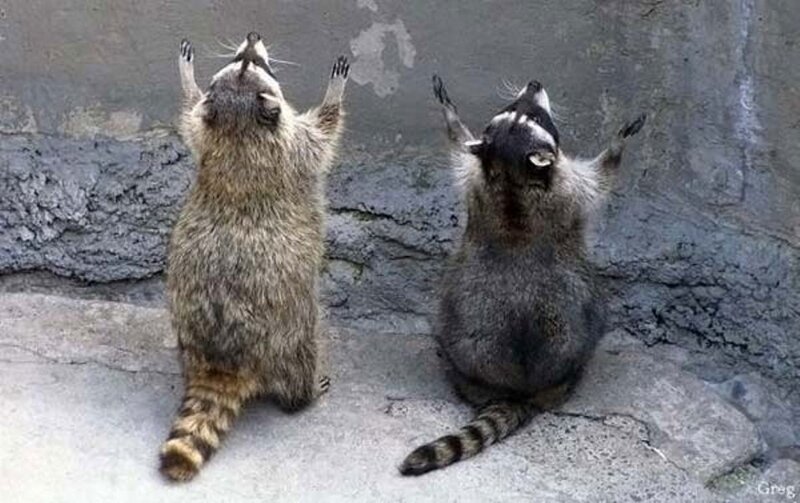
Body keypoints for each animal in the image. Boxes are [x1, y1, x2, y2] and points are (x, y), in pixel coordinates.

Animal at [159, 33, 350, 482]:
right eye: (254, 63)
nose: (251, 38)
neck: (238, 128)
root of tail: (222, 360)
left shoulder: (208, 134)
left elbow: (190, 117)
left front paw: (187, 79)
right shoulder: (296, 144)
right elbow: (325, 131)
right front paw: (334, 91)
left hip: (185, 334)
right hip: (290, 331)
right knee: (302, 356)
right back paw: (304, 395)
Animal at [399, 75, 646, 476]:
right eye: (535, 117)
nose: (534, 83)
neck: (510, 173)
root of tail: (517, 389)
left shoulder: (481, 179)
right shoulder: (569, 186)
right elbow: (603, 175)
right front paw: (619, 142)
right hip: (578, 334)